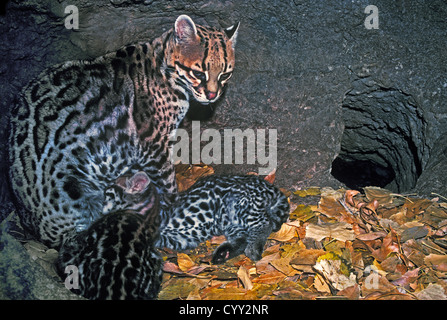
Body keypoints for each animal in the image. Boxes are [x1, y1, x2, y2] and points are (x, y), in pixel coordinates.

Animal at [7, 15, 238, 248]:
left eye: (225, 75)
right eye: (198, 73)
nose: (212, 95)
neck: (164, 66)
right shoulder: (154, 146)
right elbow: (168, 185)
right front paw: (176, 208)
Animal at [158, 175, 290, 262]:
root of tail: (271, 187)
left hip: (241, 206)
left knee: (264, 223)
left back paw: (253, 248)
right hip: (228, 221)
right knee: (242, 238)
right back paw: (224, 253)